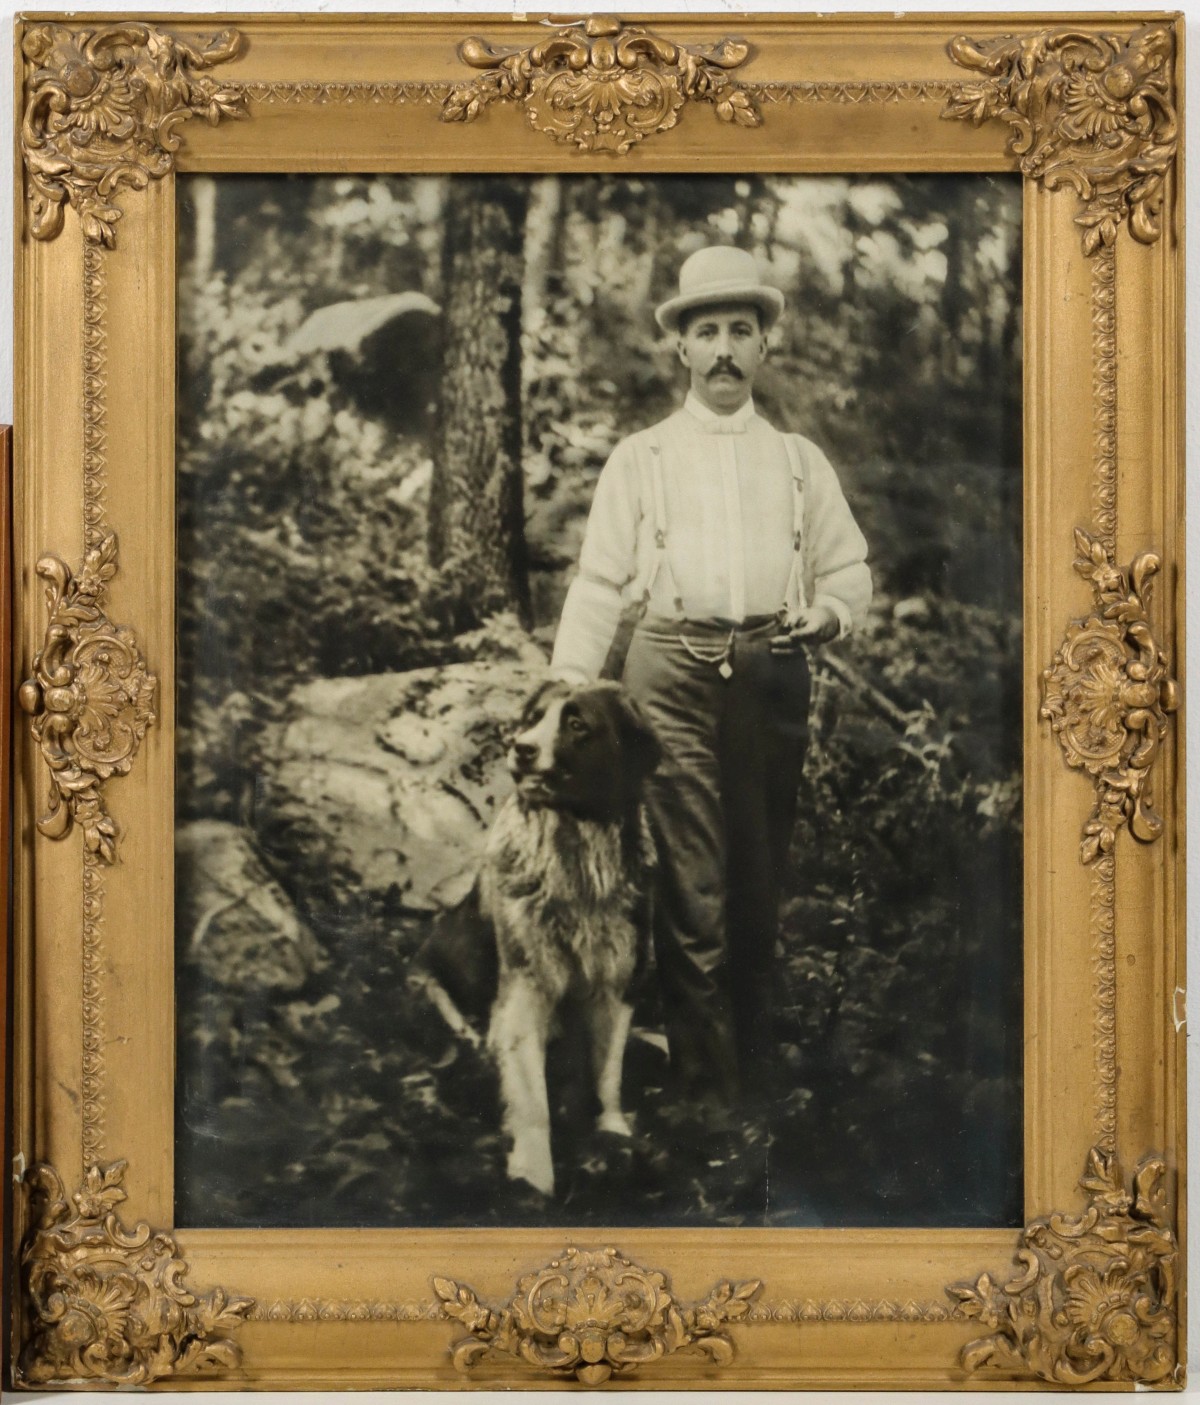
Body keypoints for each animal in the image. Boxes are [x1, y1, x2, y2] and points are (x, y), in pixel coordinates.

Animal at [483, 680, 663, 1197]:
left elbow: (608, 1073)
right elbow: (532, 1098)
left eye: (577, 724)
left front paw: (613, 1134)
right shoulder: (526, 987)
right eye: (532, 719)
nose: (521, 748)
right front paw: (533, 1175)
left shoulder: (616, 982)